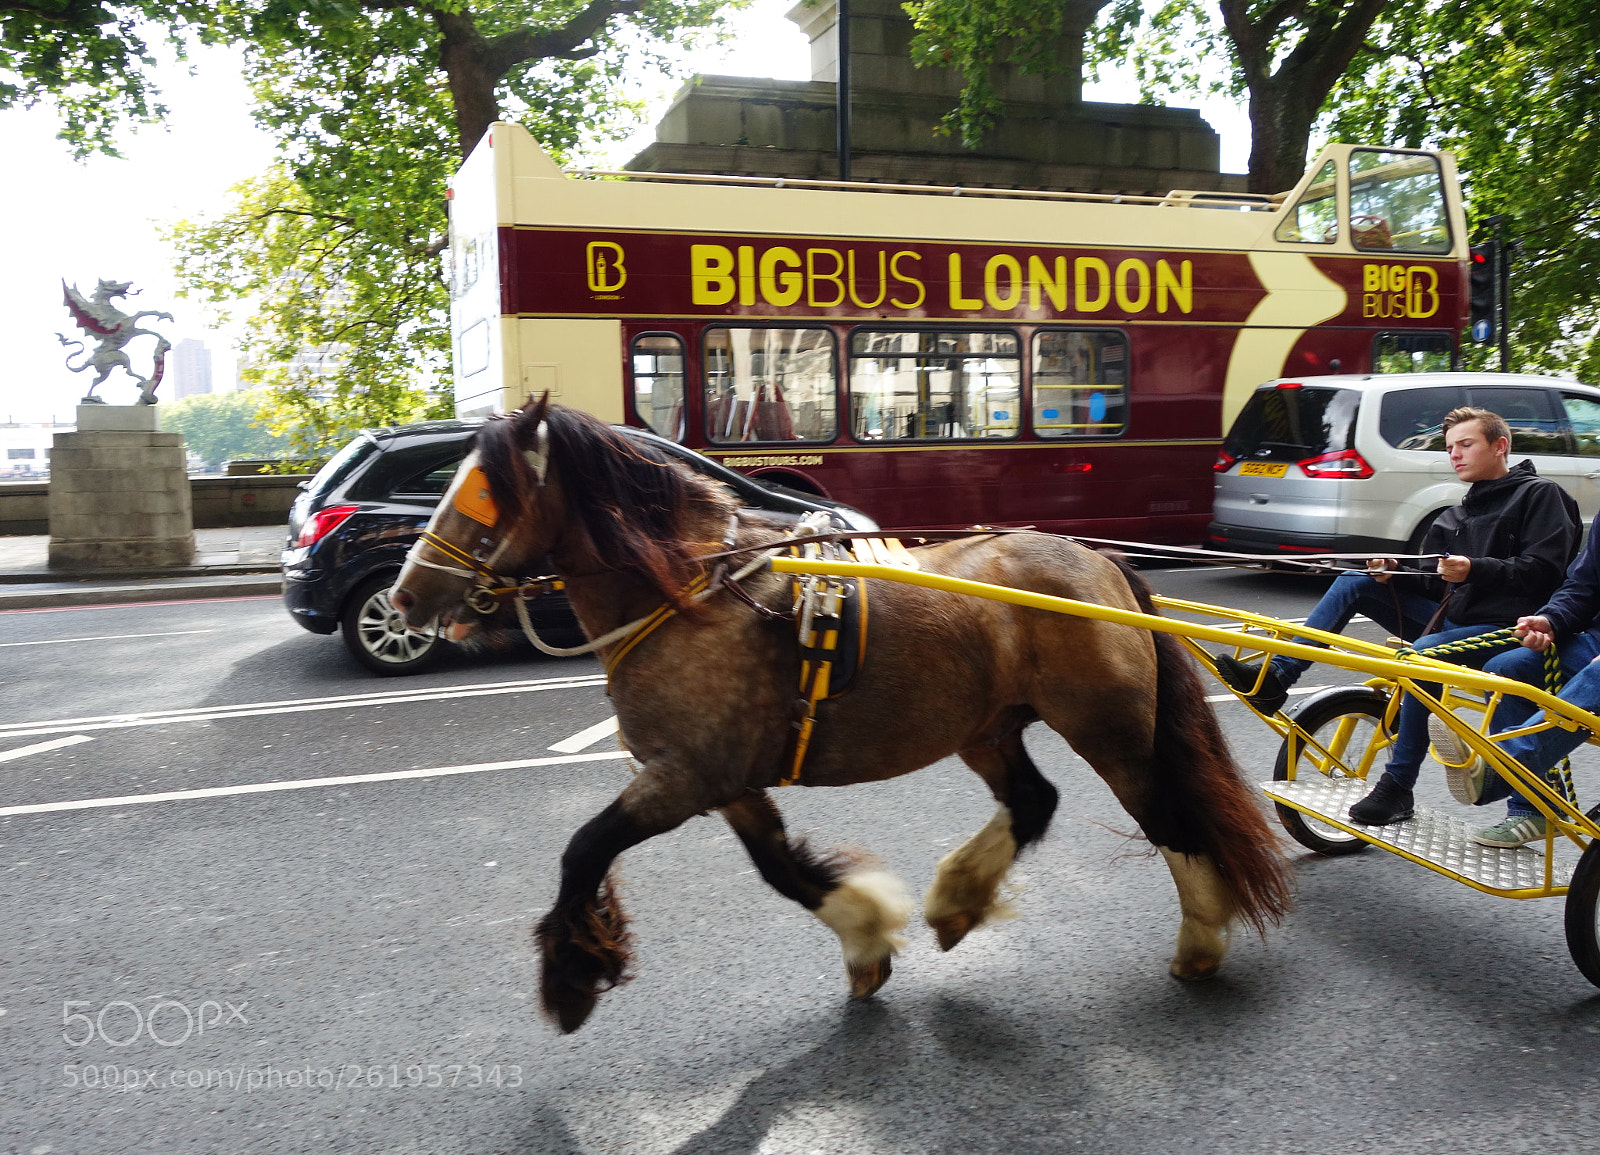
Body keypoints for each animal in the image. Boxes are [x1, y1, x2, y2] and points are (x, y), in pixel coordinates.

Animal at [389, 396, 1292, 1034]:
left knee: (1170, 818)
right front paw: (865, 937)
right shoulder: (727, 783)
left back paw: (1200, 942)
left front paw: (572, 978)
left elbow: (582, 849)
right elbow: (782, 871)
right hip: (987, 727)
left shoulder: (683, 778)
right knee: (1035, 800)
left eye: (481, 492)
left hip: (1109, 732)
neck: (695, 595)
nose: (404, 597)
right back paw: (957, 901)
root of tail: (1102, 562)